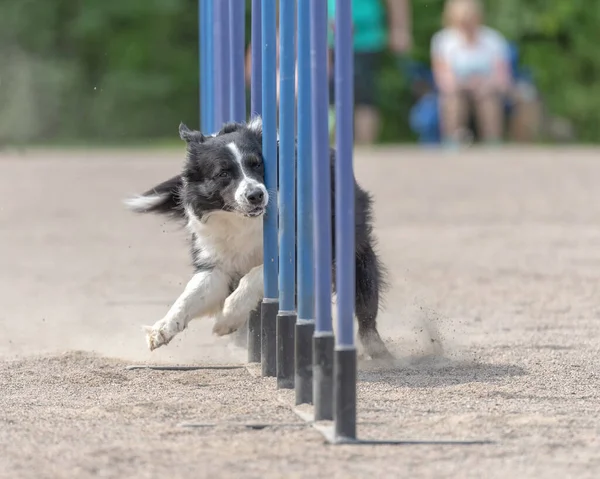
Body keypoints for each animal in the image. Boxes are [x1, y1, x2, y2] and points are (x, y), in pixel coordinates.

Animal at [124, 118, 392, 360]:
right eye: (223, 173)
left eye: (257, 164)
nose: (256, 195)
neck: (243, 222)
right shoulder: (217, 262)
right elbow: (191, 295)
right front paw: (161, 329)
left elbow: (255, 275)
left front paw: (227, 318)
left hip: (354, 253)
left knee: (364, 298)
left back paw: (376, 349)